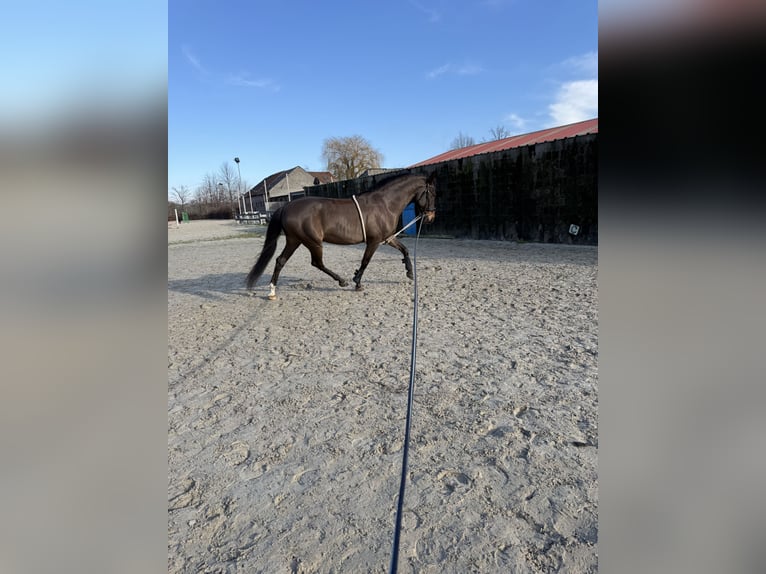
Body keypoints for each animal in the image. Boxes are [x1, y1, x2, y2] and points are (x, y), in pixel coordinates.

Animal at [246, 172, 437, 300]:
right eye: (432, 193)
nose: (431, 217)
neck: (384, 204)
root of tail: (286, 206)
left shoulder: (387, 238)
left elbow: (405, 250)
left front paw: (410, 272)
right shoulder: (374, 241)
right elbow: (365, 261)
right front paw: (357, 281)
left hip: (295, 241)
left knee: (281, 261)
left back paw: (272, 291)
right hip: (312, 242)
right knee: (317, 263)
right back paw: (342, 281)